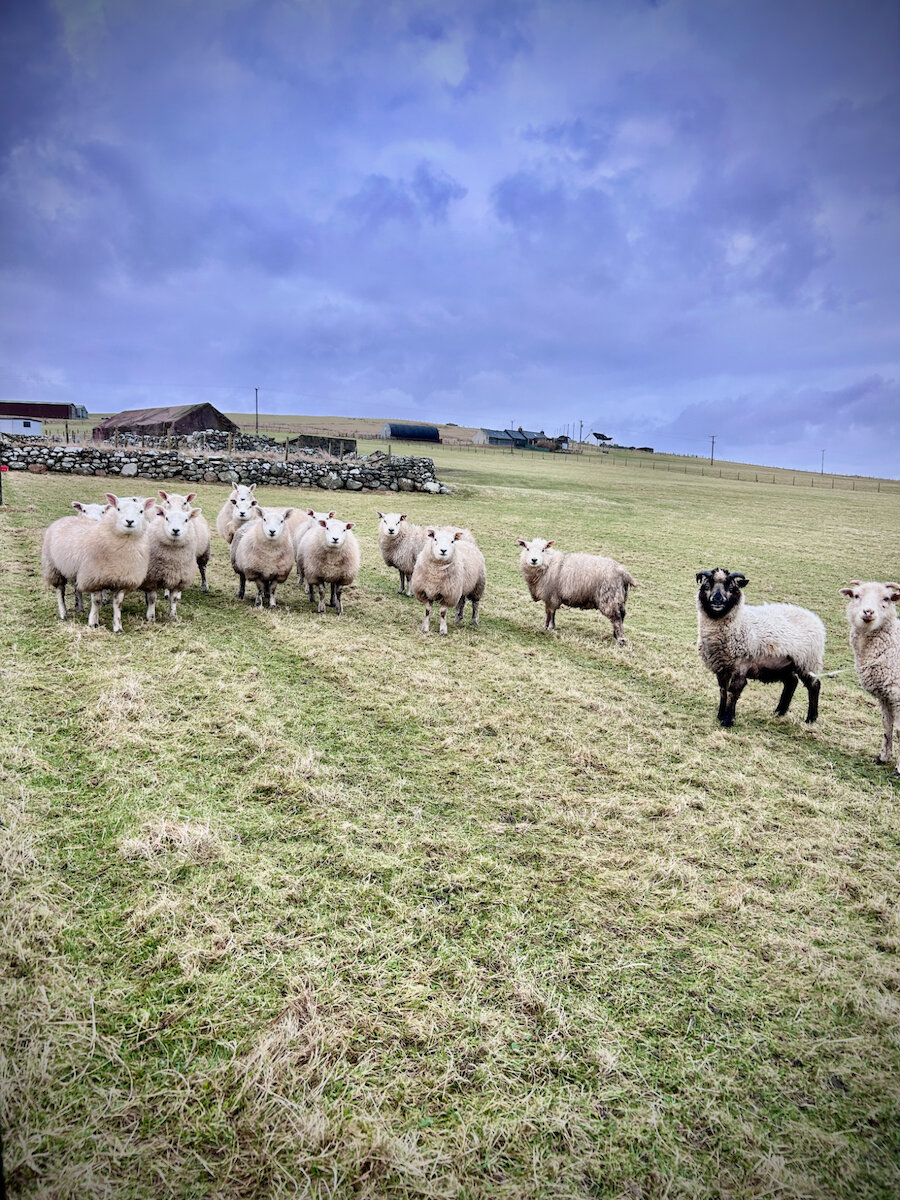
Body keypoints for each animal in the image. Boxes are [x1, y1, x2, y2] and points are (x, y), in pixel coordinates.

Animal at [42, 494, 156, 632]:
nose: (129, 521)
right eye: (118, 509)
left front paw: (118, 627)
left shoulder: (123, 580)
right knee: (60, 591)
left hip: (76, 570)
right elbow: (96, 601)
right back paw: (63, 614)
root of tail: (64, 518)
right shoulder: (94, 578)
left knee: (77, 588)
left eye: (141, 511)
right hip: (53, 567)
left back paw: (80, 607)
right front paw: (93, 622)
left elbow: (118, 603)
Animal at [696, 568, 825, 728]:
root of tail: (815, 618)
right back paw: (779, 712)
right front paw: (720, 715)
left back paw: (811, 719)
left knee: (814, 685)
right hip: (783, 664)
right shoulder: (722, 667)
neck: (739, 623)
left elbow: (733, 691)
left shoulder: (741, 666)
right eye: (707, 586)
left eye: (731, 588)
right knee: (791, 682)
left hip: (808, 661)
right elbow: (723, 691)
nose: (717, 600)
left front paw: (728, 720)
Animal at [839, 580, 900, 775]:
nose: (868, 612)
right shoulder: (886, 695)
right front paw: (883, 758)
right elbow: (887, 726)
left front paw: (898, 769)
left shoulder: (897, 694)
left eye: (887, 598)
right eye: (856, 595)